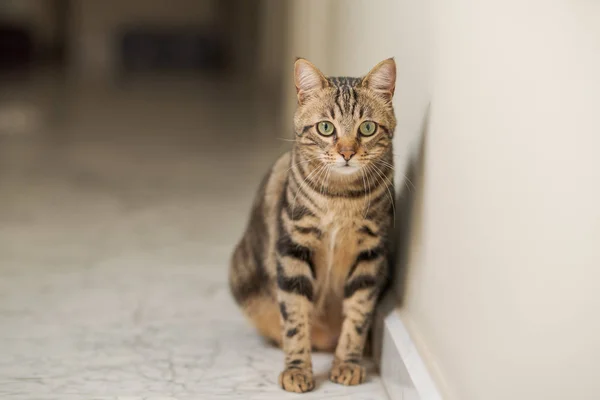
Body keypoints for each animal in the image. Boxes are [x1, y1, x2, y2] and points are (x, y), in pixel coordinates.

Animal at [227, 57, 396, 392]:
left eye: (367, 127)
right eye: (326, 128)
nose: (347, 152)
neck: (341, 198)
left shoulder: (371, 254)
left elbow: (358, 315)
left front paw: (347, 364)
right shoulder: (293, 247)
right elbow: (295, 318)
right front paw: (297, 370)